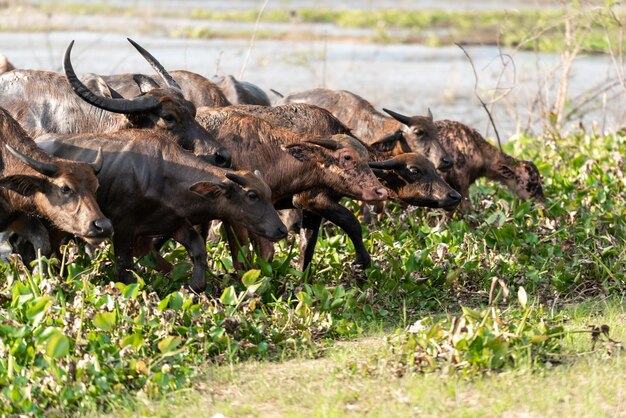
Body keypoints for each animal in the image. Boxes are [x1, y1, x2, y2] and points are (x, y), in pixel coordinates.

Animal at [36, 130, 286, 290]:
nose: (282, 230)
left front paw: (194, 285)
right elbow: (124, 268)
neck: (162, 174)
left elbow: (197, 249)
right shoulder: (123, 227)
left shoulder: (173, 223)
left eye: (268, 193)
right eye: (252, 195)